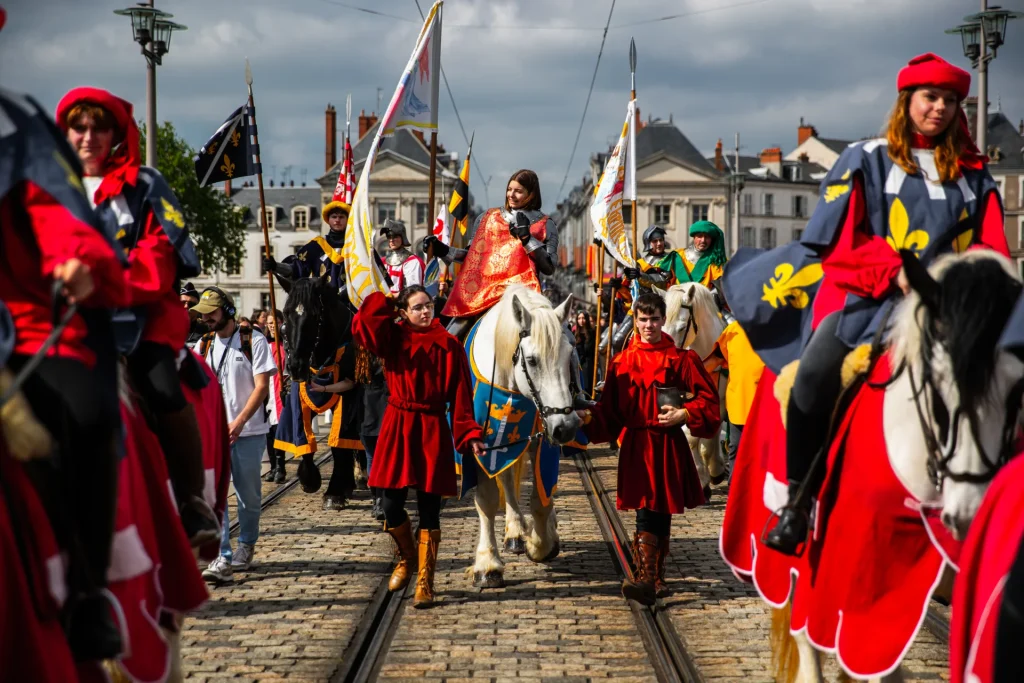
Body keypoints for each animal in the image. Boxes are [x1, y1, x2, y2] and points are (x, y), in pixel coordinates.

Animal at [280, 274, 360, 501]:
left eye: (315, 314)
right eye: (286, 313)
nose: (296, 367)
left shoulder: (347, 398)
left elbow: (339, 446)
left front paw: (334, 492)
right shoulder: (301, 399)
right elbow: (302, 437)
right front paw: (309, 479)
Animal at [466, 282, 581, 589]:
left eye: (569, 355)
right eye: (532, 360)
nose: (566, 426)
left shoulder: (544, 438)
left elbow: (542, 497)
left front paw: (541, 544)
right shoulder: (483, 445)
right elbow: (487, 500)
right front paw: (488, 564)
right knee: (506, 480)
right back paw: (515, 531)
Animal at [659, 282, 733, 491]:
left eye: (682, 327)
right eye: (661, 324)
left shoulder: (719, 399)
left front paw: (712, 472)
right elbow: (690, 435)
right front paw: (701, 478)